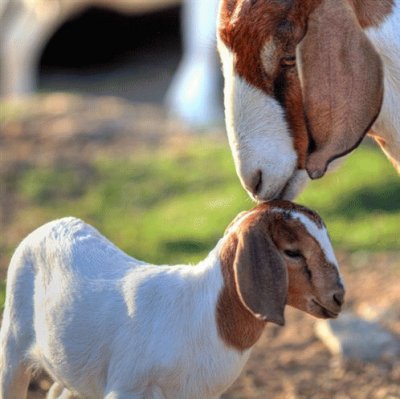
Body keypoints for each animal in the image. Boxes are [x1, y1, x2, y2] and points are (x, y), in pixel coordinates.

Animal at [0, 203, 344, 399]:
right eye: (292, 251)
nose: (338, 297)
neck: (203, 314)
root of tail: (52, 224)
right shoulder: (126, 388)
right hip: (12, 350)